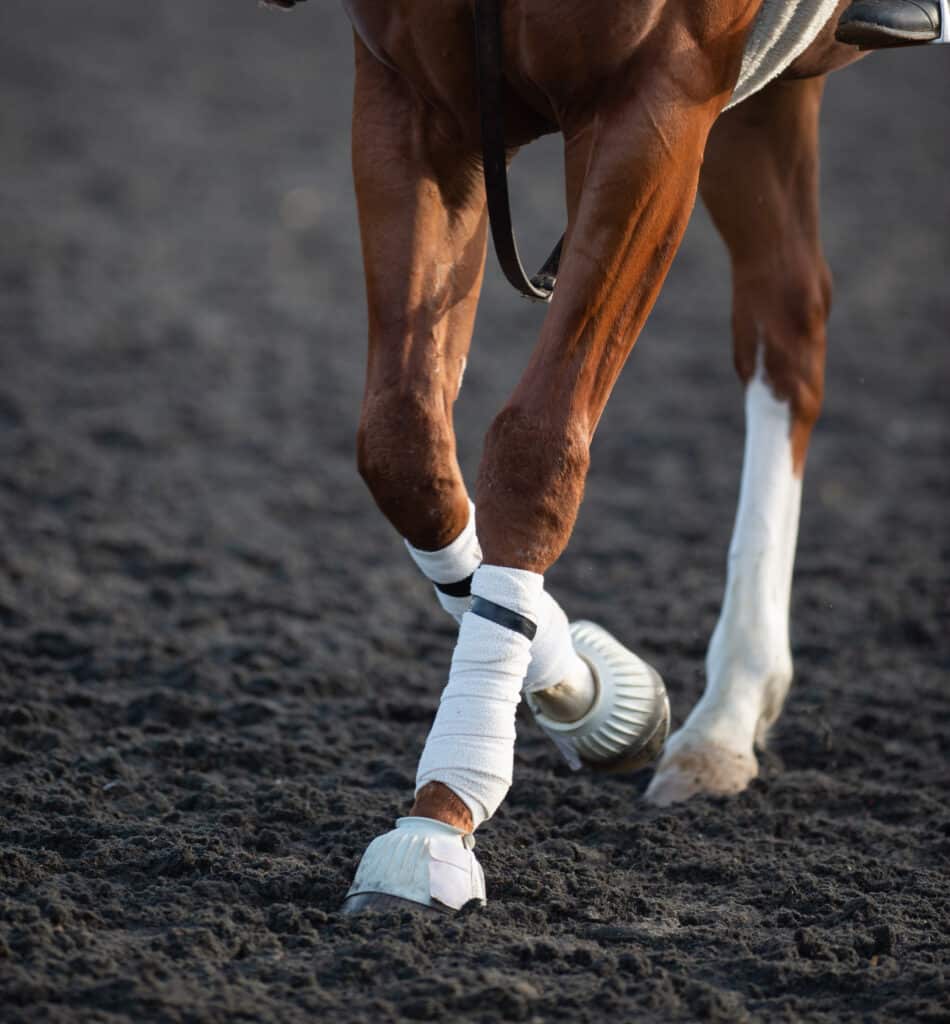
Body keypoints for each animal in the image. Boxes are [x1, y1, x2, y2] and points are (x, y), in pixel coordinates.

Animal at [326, 0, 908, 914]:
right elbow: (404, 442)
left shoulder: (659, 95)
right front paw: (595, 696)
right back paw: (724, 711)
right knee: (787, 315)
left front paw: (438, 819)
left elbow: (537, 444)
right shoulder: (409, 97)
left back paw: (725, 714)